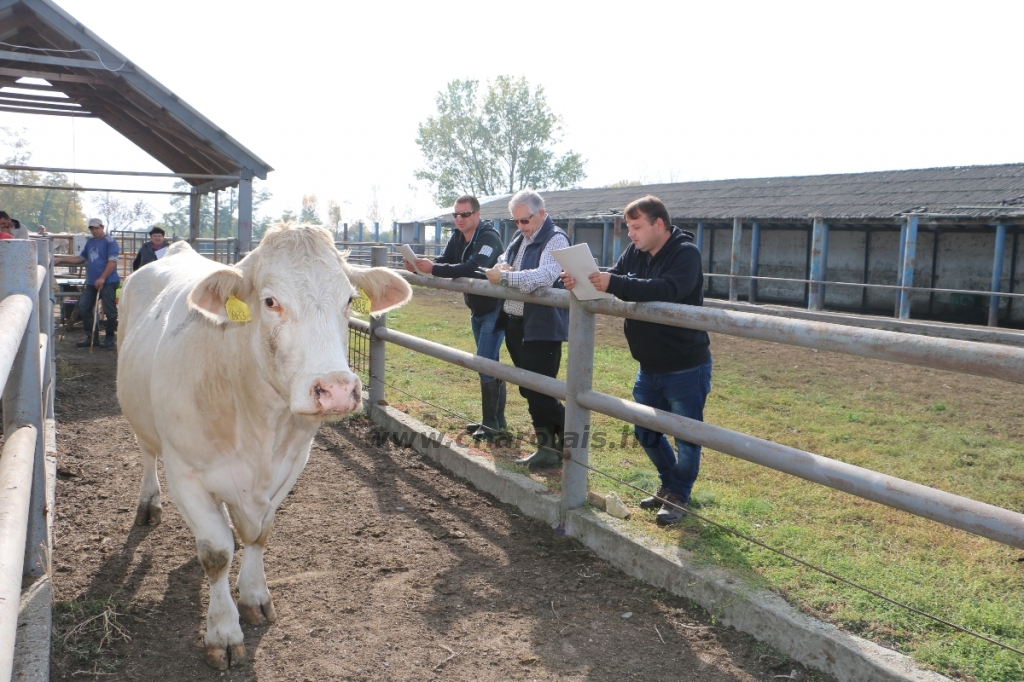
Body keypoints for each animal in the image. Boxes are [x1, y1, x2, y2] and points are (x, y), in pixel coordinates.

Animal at [117, 222, 411, 663]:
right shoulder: (184, 472)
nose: (338, 390)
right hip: (141, 421)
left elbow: (258, 534)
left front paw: (254, 596)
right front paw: (223, 631)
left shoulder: (292, 464)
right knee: (147, 455)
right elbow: (216, 552)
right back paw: (148, 503)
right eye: (271, 301)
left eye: (349, 299)